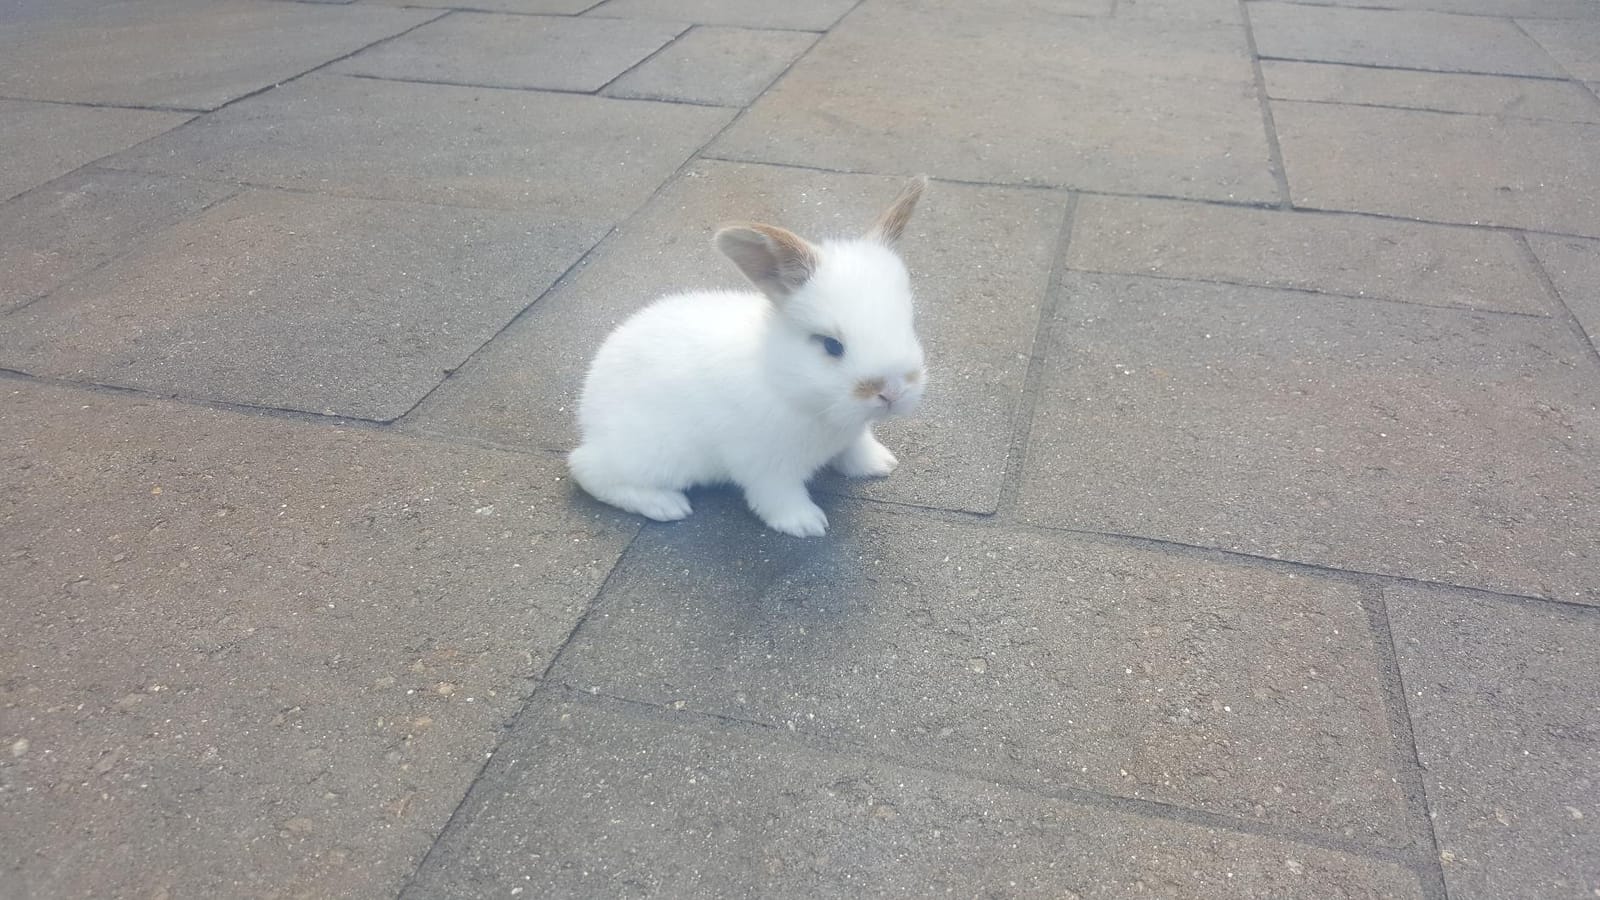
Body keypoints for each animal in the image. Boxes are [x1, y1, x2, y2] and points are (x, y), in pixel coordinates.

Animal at [568, 175, 930, 537]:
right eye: (831, 345)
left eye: (909, 323)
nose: (892, 392)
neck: (784, 380)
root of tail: (589, 411)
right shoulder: (765, 465)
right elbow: (778, 496)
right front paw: (806, 524)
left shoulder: (851, 433)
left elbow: (856, 448)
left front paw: (879, 463)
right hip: (652, 455)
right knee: (586, 469)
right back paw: (665, 505)